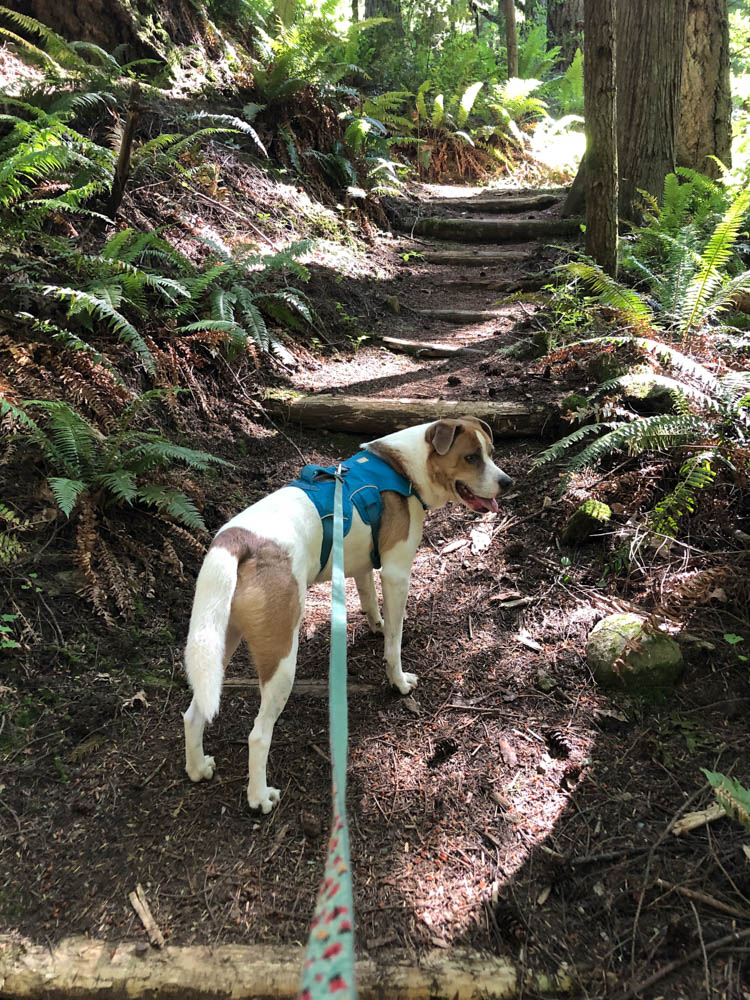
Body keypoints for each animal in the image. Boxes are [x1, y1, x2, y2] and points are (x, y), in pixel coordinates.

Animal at [184, 416, 512, 812]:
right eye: (470, 457)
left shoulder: (362, 567)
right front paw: (398, 680)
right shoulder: (396, 572)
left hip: (218, 641)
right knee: (258, 735)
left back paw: (197, 768)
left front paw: (376, 625)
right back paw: (259, 797)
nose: (507, 483)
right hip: (281, 660)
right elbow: (395, 643)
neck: (403, 468)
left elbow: (370, 602)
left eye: (490, 452)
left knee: (193, 712)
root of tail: (238, 540)